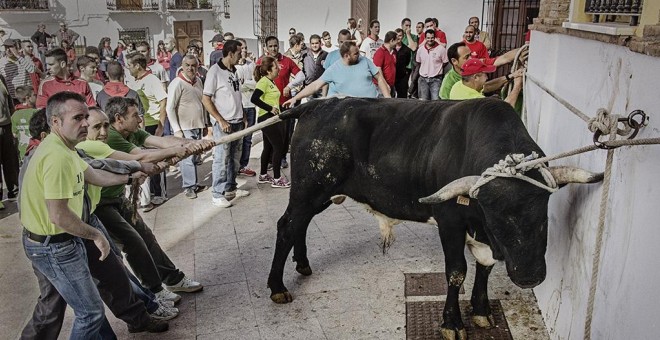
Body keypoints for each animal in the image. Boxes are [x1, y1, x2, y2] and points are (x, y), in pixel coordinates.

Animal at [266, 97, 600, 338]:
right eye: (495, 217)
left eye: (543, 214)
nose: (529, 276)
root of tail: (317, 104)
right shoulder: (450, 222)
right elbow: (456, 272)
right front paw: (452, 323)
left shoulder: (480, 235)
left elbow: (485, 265)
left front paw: (481, 311)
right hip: (308, 190)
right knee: (287, 226)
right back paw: (278, 287)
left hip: (318, 195)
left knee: (300, 225)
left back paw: (303, 263)